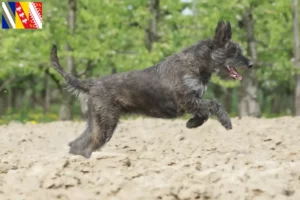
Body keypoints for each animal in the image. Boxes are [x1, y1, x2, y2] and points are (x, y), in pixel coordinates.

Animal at [51, 20, 251, 158]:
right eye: (233, 51)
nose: (251, 64)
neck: (196, 64)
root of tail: (91, 84)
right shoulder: (186, 100)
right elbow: (214, 104)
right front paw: (226, 121)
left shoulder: (193, 101)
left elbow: (204, 112)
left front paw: (192, 123)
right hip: (105, 123)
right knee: (87, 144)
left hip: (97, 121)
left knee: (78, 143)